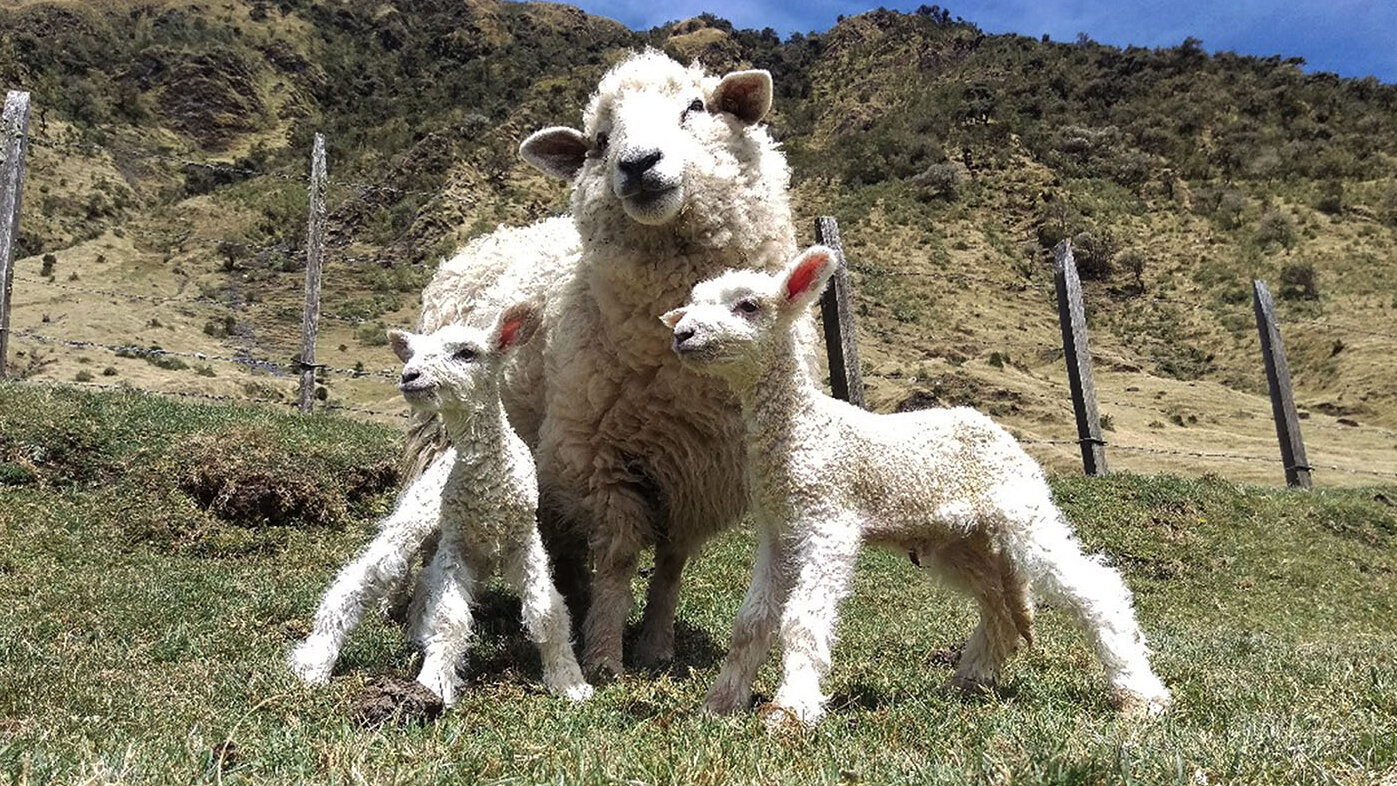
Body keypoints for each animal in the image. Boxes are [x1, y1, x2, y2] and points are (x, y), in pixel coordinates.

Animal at [286, 304, 592, 703]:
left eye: (467, 353)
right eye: (414, 354)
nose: (409, 376)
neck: (489, 483)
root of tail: (444, 456)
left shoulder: (524, 540)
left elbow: (546, 610)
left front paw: (570, 681)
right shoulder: (457, 543)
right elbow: (450, 617)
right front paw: (434, 683)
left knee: (422, 582)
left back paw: (416, 634)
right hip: (416, 517)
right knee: (364, 577)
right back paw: (315, 661)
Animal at [514, 49, 804, 675]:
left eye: (695, 107)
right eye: (599, 141)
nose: (637, 163)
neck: (677, 385)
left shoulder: (700, 470)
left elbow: (672, 560)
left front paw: (655, 645)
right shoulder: (598, 456)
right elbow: (621, 557)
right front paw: (605, 655)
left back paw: (572, 596)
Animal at [659, 248, 1173, 731]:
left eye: (748, 305)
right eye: (693, 304)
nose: (682, 334)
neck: (803, 429)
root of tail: (991, 426)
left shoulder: (828, 522)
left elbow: (803, 620)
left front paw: (791, 710)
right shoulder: (780, 532)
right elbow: (750, 623)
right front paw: (721, 704)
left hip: (1022, 509)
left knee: (1095, 588)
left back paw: (1140, 696)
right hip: (959, 538)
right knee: (998, 602)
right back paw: (969, 682)